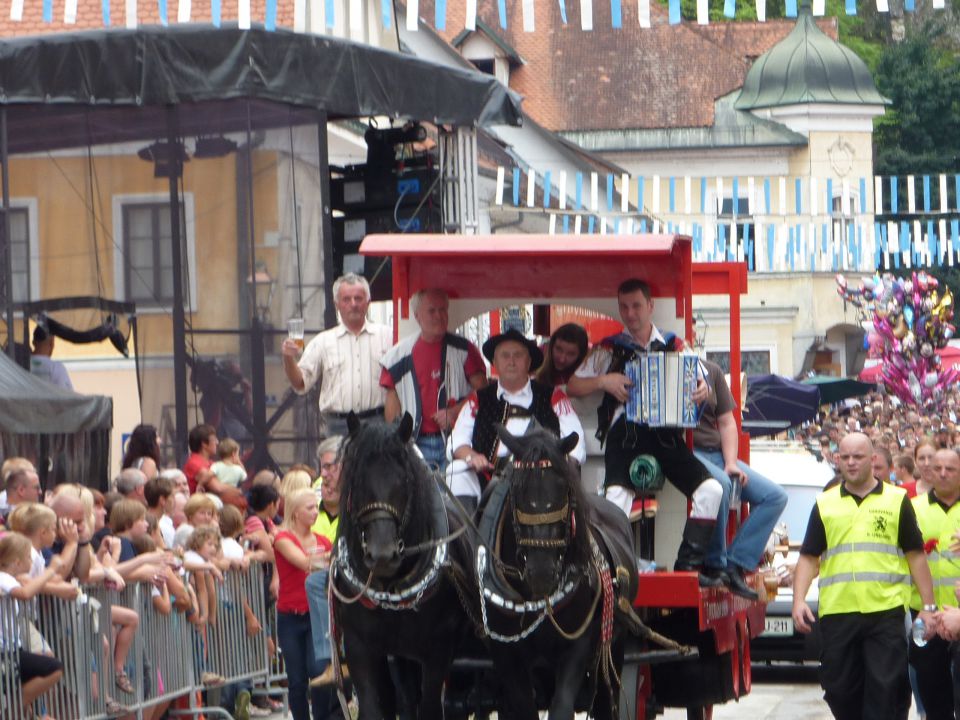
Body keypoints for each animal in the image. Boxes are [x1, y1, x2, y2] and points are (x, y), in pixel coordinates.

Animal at [332, 410, 474, 720]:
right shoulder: (360, 647)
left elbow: (430, 707)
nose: (382, 555)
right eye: (356, 479)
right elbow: (374, 707)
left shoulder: (437, 650)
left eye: (405, 480)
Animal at [476, 422, 640, 720]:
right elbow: (524, 707)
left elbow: (562, 707)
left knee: (605, 699)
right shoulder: (506, 655)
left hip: (615, 644)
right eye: (516, 489)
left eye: (565, 489)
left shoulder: (578, 644)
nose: (542, 571)